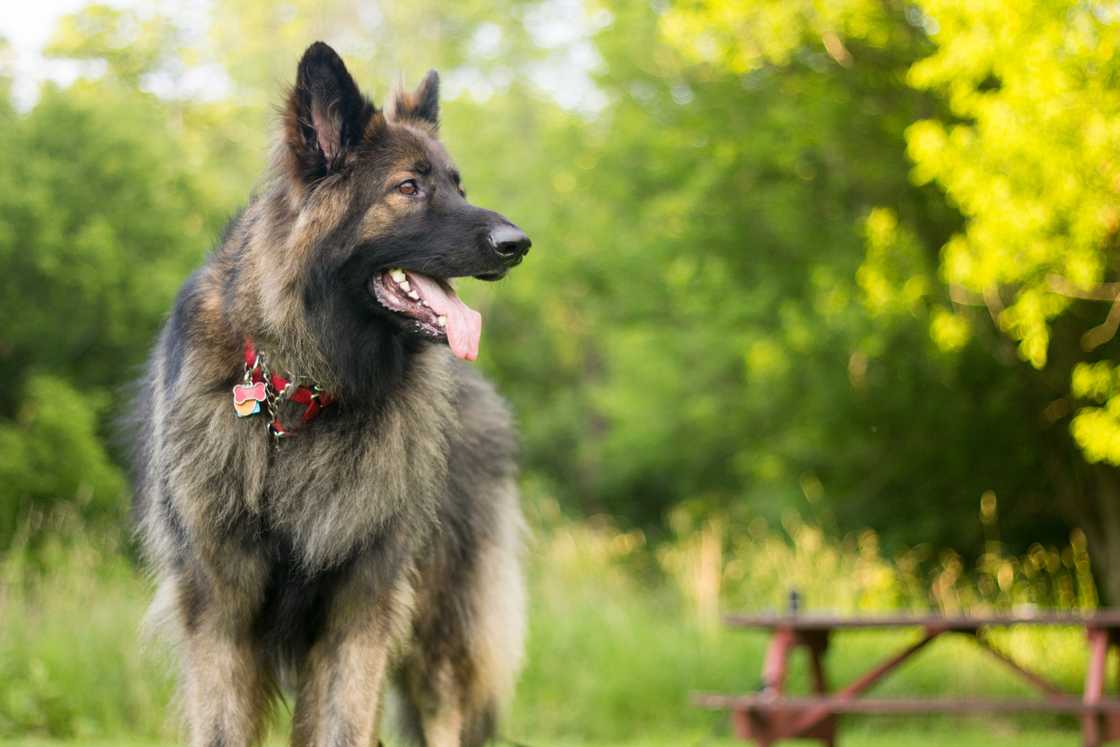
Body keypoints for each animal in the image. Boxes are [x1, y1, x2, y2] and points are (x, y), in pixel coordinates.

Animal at [128, 42, 530, 747]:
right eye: (408, 187)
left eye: (459, 186)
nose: (519, 245)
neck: (302, 395)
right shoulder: (220, 618)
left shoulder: (360, 613)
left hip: (439, 640)